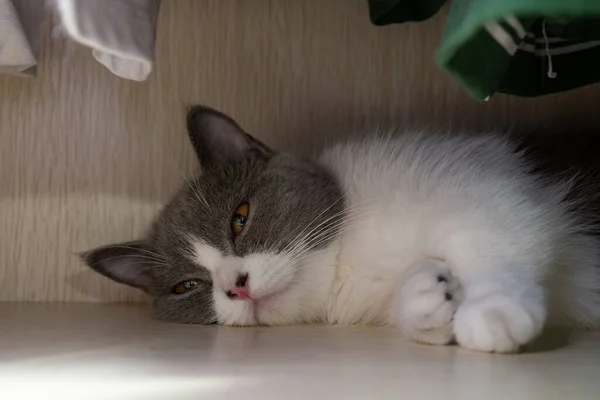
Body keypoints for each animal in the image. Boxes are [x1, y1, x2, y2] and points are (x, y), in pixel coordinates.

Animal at [83, 106, 600, 354]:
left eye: (240, 217)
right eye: (187, 286)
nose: (235, 287)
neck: (345, 263)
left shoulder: (490, 185)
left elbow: (492, 233)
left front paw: (492, 311)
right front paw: (427, 299)